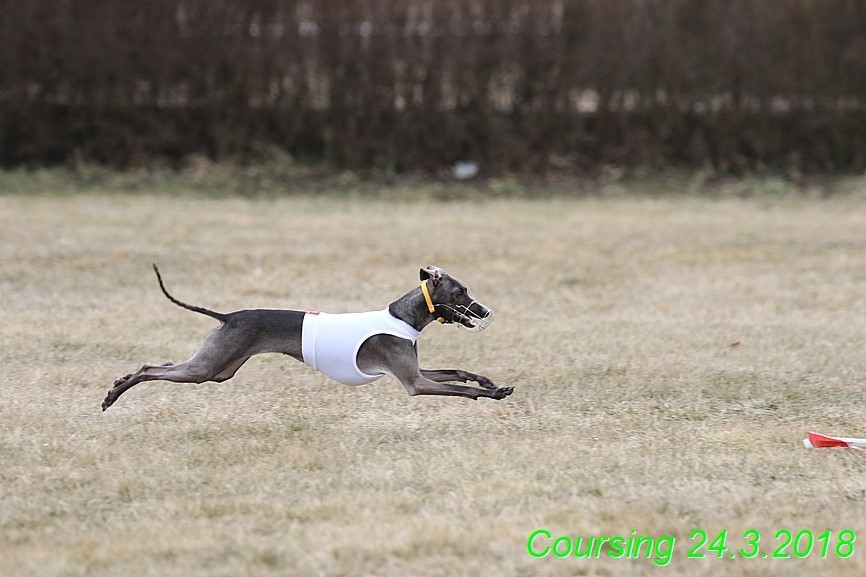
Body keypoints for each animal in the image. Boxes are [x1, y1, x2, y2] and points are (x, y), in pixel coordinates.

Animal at [99, 266, 512, 410]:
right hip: (208, 367)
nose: (485, 311)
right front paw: (493, 394)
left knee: (166, 364)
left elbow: (457, 372)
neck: (403, 317)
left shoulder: (417, 371)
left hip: (219, 369)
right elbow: (458, 389)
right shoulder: (415, 383)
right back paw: (113, 393)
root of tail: (229, 316)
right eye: (460, 292)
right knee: (150, 368)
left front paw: (488, 381)